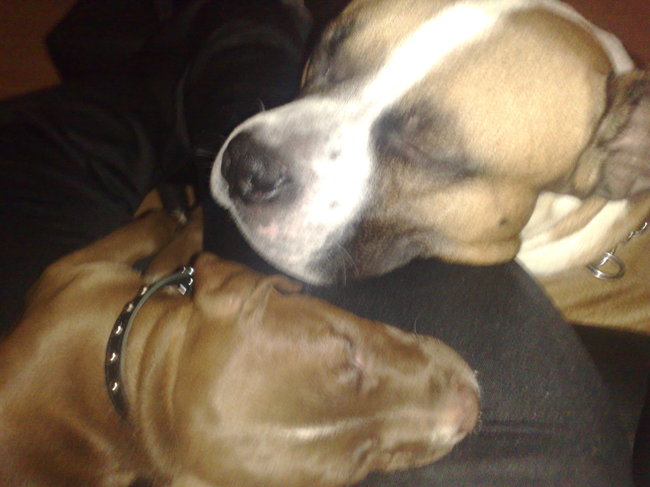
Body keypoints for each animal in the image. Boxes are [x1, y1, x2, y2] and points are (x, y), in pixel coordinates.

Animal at [0, 210, 478, 487]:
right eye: (359, 466)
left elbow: (168, 255)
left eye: (348, 348)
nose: (469, 407)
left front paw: (186, 217)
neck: (124, 384)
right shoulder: (64, 268)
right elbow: (148, 232)